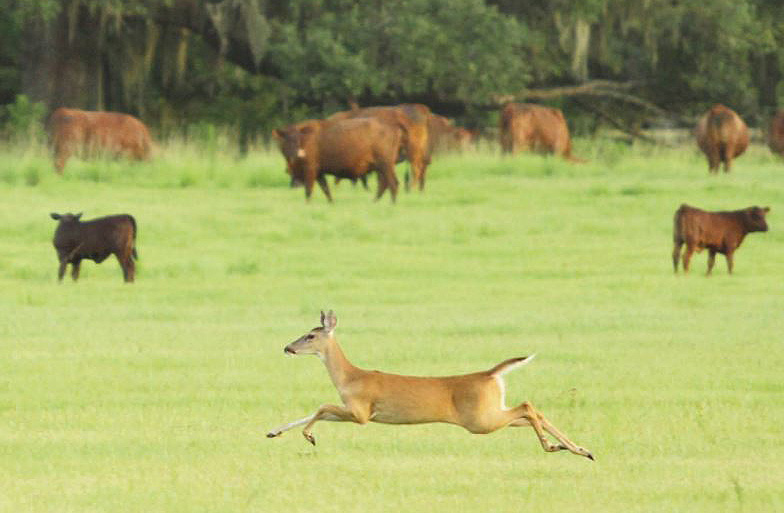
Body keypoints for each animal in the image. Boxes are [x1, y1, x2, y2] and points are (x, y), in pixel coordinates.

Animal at [270, 310, 596, 462]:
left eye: (310, 336)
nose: (287, 347)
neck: (350, 378)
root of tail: (490, 374)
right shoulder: (354, 411)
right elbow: (318, 410)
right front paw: (273, 431)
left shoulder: (361, 412)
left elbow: (321, 406)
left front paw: (309, 436)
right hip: (491, 412)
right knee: (531, 413)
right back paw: (579, 449)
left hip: (480, 420)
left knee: (528, 407)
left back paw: (556, 447)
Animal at [272, 118, 402, 202]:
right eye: (286, 140)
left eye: (298, 139)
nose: (295, 154)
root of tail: (392, 128)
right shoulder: (319, 172)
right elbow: (326, 189)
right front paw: (331, 203)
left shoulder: (310, 169)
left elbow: (309, 190)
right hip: (381, 167)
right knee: (385, 184)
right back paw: (375, 202)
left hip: (384, 165)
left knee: (392, 184)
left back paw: (391, 203)